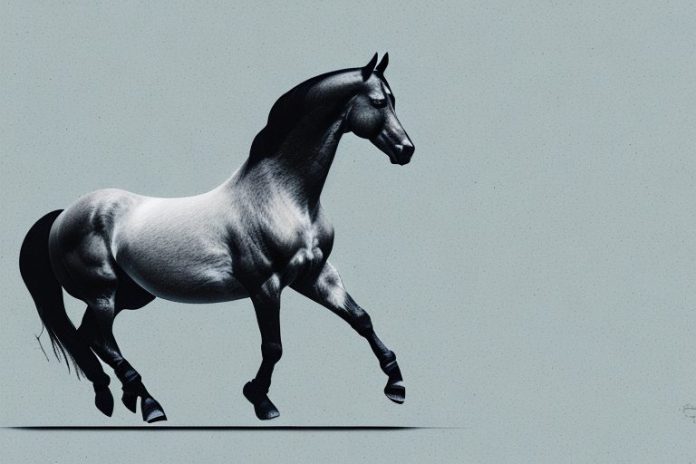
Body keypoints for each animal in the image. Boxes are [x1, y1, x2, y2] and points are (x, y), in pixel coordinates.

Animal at [19, 53, 414, 423]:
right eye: (379, 102)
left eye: (395, 100)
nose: (406, 150)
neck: (282, 196)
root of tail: (63, 216)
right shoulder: (265, 286)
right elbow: (273, 346)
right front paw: (259, 399)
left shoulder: (315, 275)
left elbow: (361, 318)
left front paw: (395, 385)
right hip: (103, 293)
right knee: (101, 339)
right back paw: (148, 403)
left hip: (130, 295)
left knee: (88, 336)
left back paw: (115, 397)